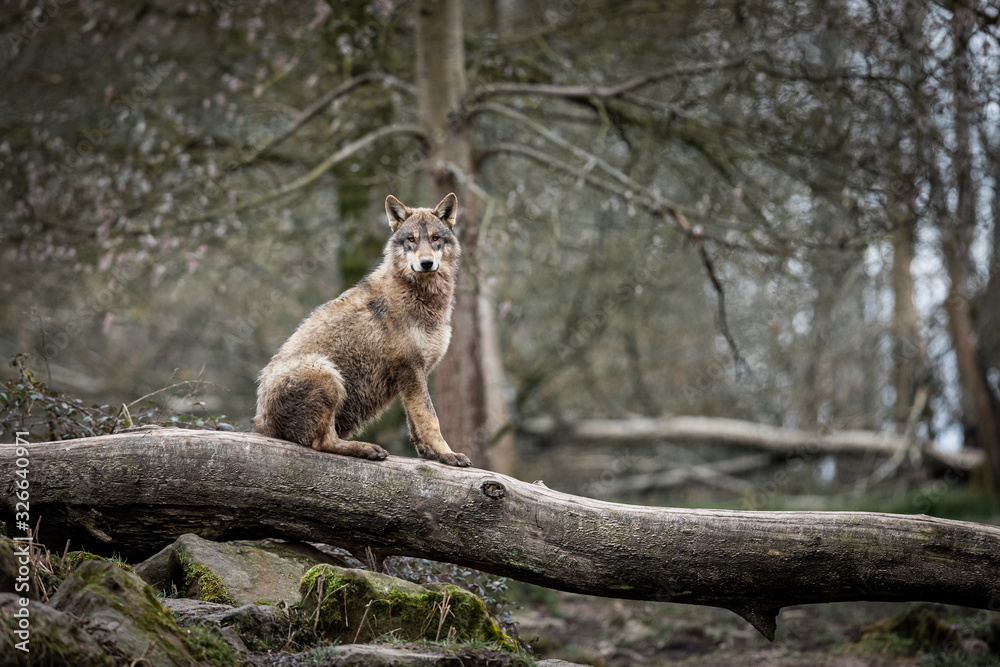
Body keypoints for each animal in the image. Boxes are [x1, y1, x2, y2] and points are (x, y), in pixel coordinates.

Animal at [252, 193, 471, 467]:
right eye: (411, 239)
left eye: (435, 238)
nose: (426, 263)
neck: (422, 297)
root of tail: (261, 426)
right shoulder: (410, 368)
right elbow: (430, 419)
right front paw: (448, 454)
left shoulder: (417, 373)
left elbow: (415, 421)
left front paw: (431, 454)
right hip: (324, 371)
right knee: (322, 443)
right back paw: (366, 448)